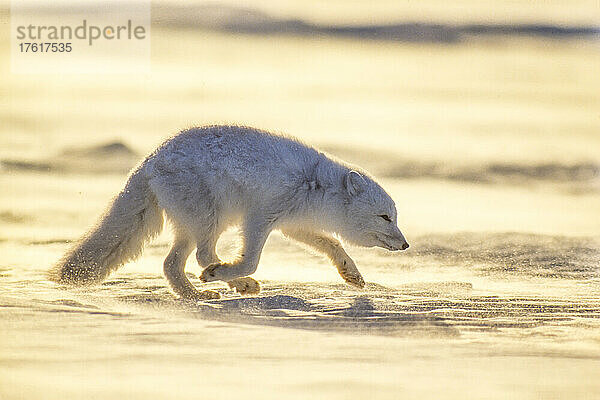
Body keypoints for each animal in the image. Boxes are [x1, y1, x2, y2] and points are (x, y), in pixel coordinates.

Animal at [49, 126, 410, 300]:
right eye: (385, 217)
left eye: (395, 216)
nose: (406, 244)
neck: (315, 185)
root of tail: (148, 161)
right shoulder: (260, 216)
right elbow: (251, 258)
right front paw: (233, 273)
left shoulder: (293, 224)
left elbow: (333, 245)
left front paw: (353, 275)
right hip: (212, 216)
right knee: (201, 255)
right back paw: (228, 281)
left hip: (194, 223)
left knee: (171, 263)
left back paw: (198, 294)